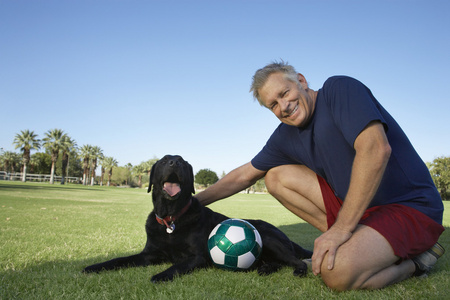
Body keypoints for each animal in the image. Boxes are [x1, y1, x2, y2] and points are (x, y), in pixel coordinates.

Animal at [82, 154, 312, 282]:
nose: (174, 163)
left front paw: (161, 275)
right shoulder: (149, 254)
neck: (171, 217)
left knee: (296, 261)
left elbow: (177, 266)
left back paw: (297, 270)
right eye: (164, 161)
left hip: (268, 237)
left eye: (183, 162)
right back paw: (265, 268)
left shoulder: (198, 256)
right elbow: (120, 259)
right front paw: (93, 267)